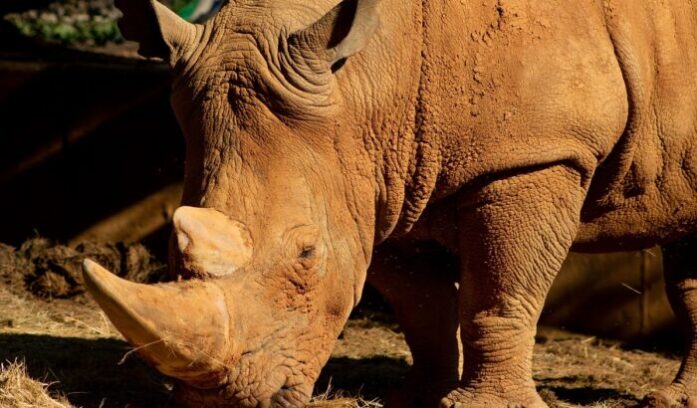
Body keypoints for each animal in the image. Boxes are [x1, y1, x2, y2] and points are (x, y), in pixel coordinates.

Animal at [82, 0, 697, 406]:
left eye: (307, 255)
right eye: (170, 247)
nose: (222, 402)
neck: (369, 81)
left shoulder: (536, 154)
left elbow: (499, 292)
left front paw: (479, 406)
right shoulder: (384, 181)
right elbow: (419, 304)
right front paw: (415, 400)